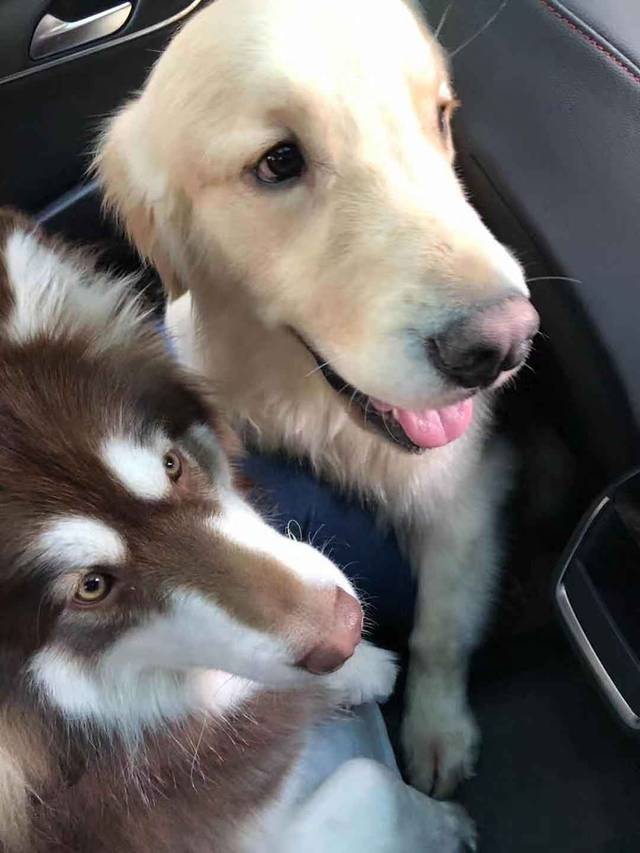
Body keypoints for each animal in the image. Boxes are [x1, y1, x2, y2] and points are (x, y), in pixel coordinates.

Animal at [0, 208, 481, 852]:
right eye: (91, 587)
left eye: (172, 465)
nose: (345, 631)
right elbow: (370, 781)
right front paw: (444, 823)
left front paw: (363, 669)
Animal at [96, 0, 540, 797]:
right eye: (278, 162)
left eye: (439, 117)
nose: (503, 345)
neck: (312, 410)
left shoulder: (468, 486)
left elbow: (440, 627)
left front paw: (437, 728)